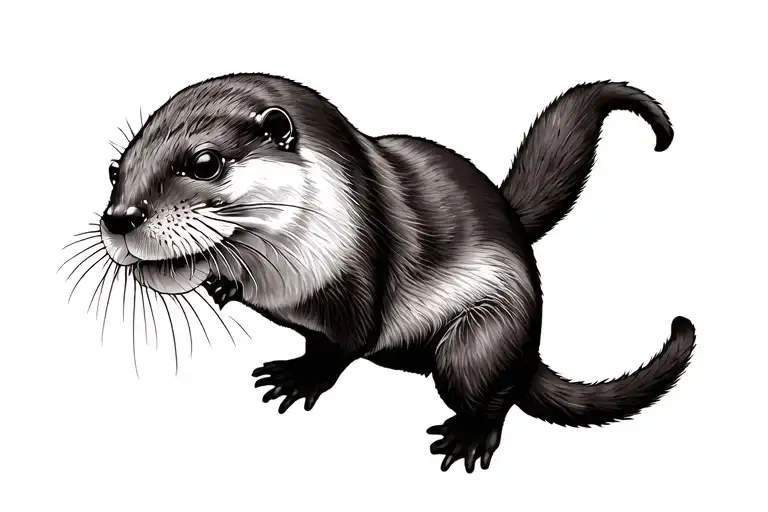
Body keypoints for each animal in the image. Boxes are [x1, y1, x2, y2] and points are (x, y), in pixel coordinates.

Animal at [93, 74, 695, 473]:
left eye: (204, 163)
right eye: (115, 169)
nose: (120, 218)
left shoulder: (357, 282)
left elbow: (341, 346)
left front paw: (298, 377)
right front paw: (221, 284)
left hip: (481, 336)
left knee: (492, 389)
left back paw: (469, 436)